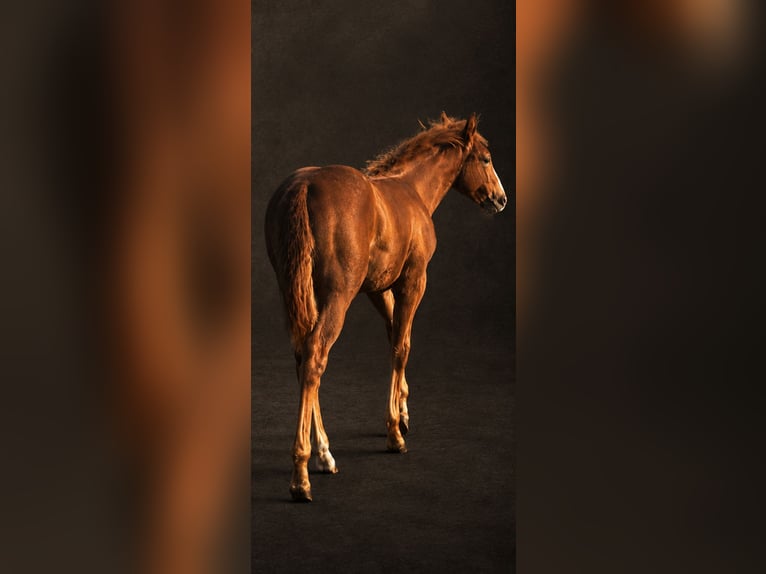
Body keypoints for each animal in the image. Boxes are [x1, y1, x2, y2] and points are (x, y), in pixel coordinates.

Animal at [265, 112, 508, 502]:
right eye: (485, 159)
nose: (500, 199)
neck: (412, 190)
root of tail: (304, 185)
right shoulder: (414, 279)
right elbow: (401, 345)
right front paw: (395, 431)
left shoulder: (377, 288)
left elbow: (395, 332)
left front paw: (404, 411)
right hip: (338, 294)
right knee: (316, 356)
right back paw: (302, 474)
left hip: (298, 291)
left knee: (303, 358)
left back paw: (324, 453)